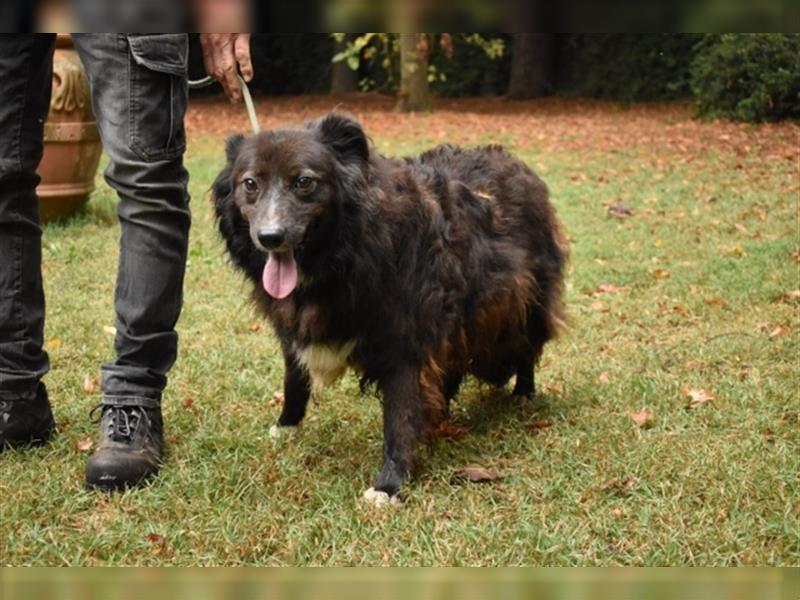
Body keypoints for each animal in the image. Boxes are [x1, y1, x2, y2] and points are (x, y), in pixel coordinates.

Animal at [209, 113, 564, 506]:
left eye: (304, 182)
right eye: (250, 184)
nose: (270, 238)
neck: (343, 254)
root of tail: (513, 161)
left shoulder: (404, 338)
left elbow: (399, 414)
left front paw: (389, 484)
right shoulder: (294, 328)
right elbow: (294, 380)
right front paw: (286, 426)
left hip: (524, 301)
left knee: (527, 346)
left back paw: (523, 394)